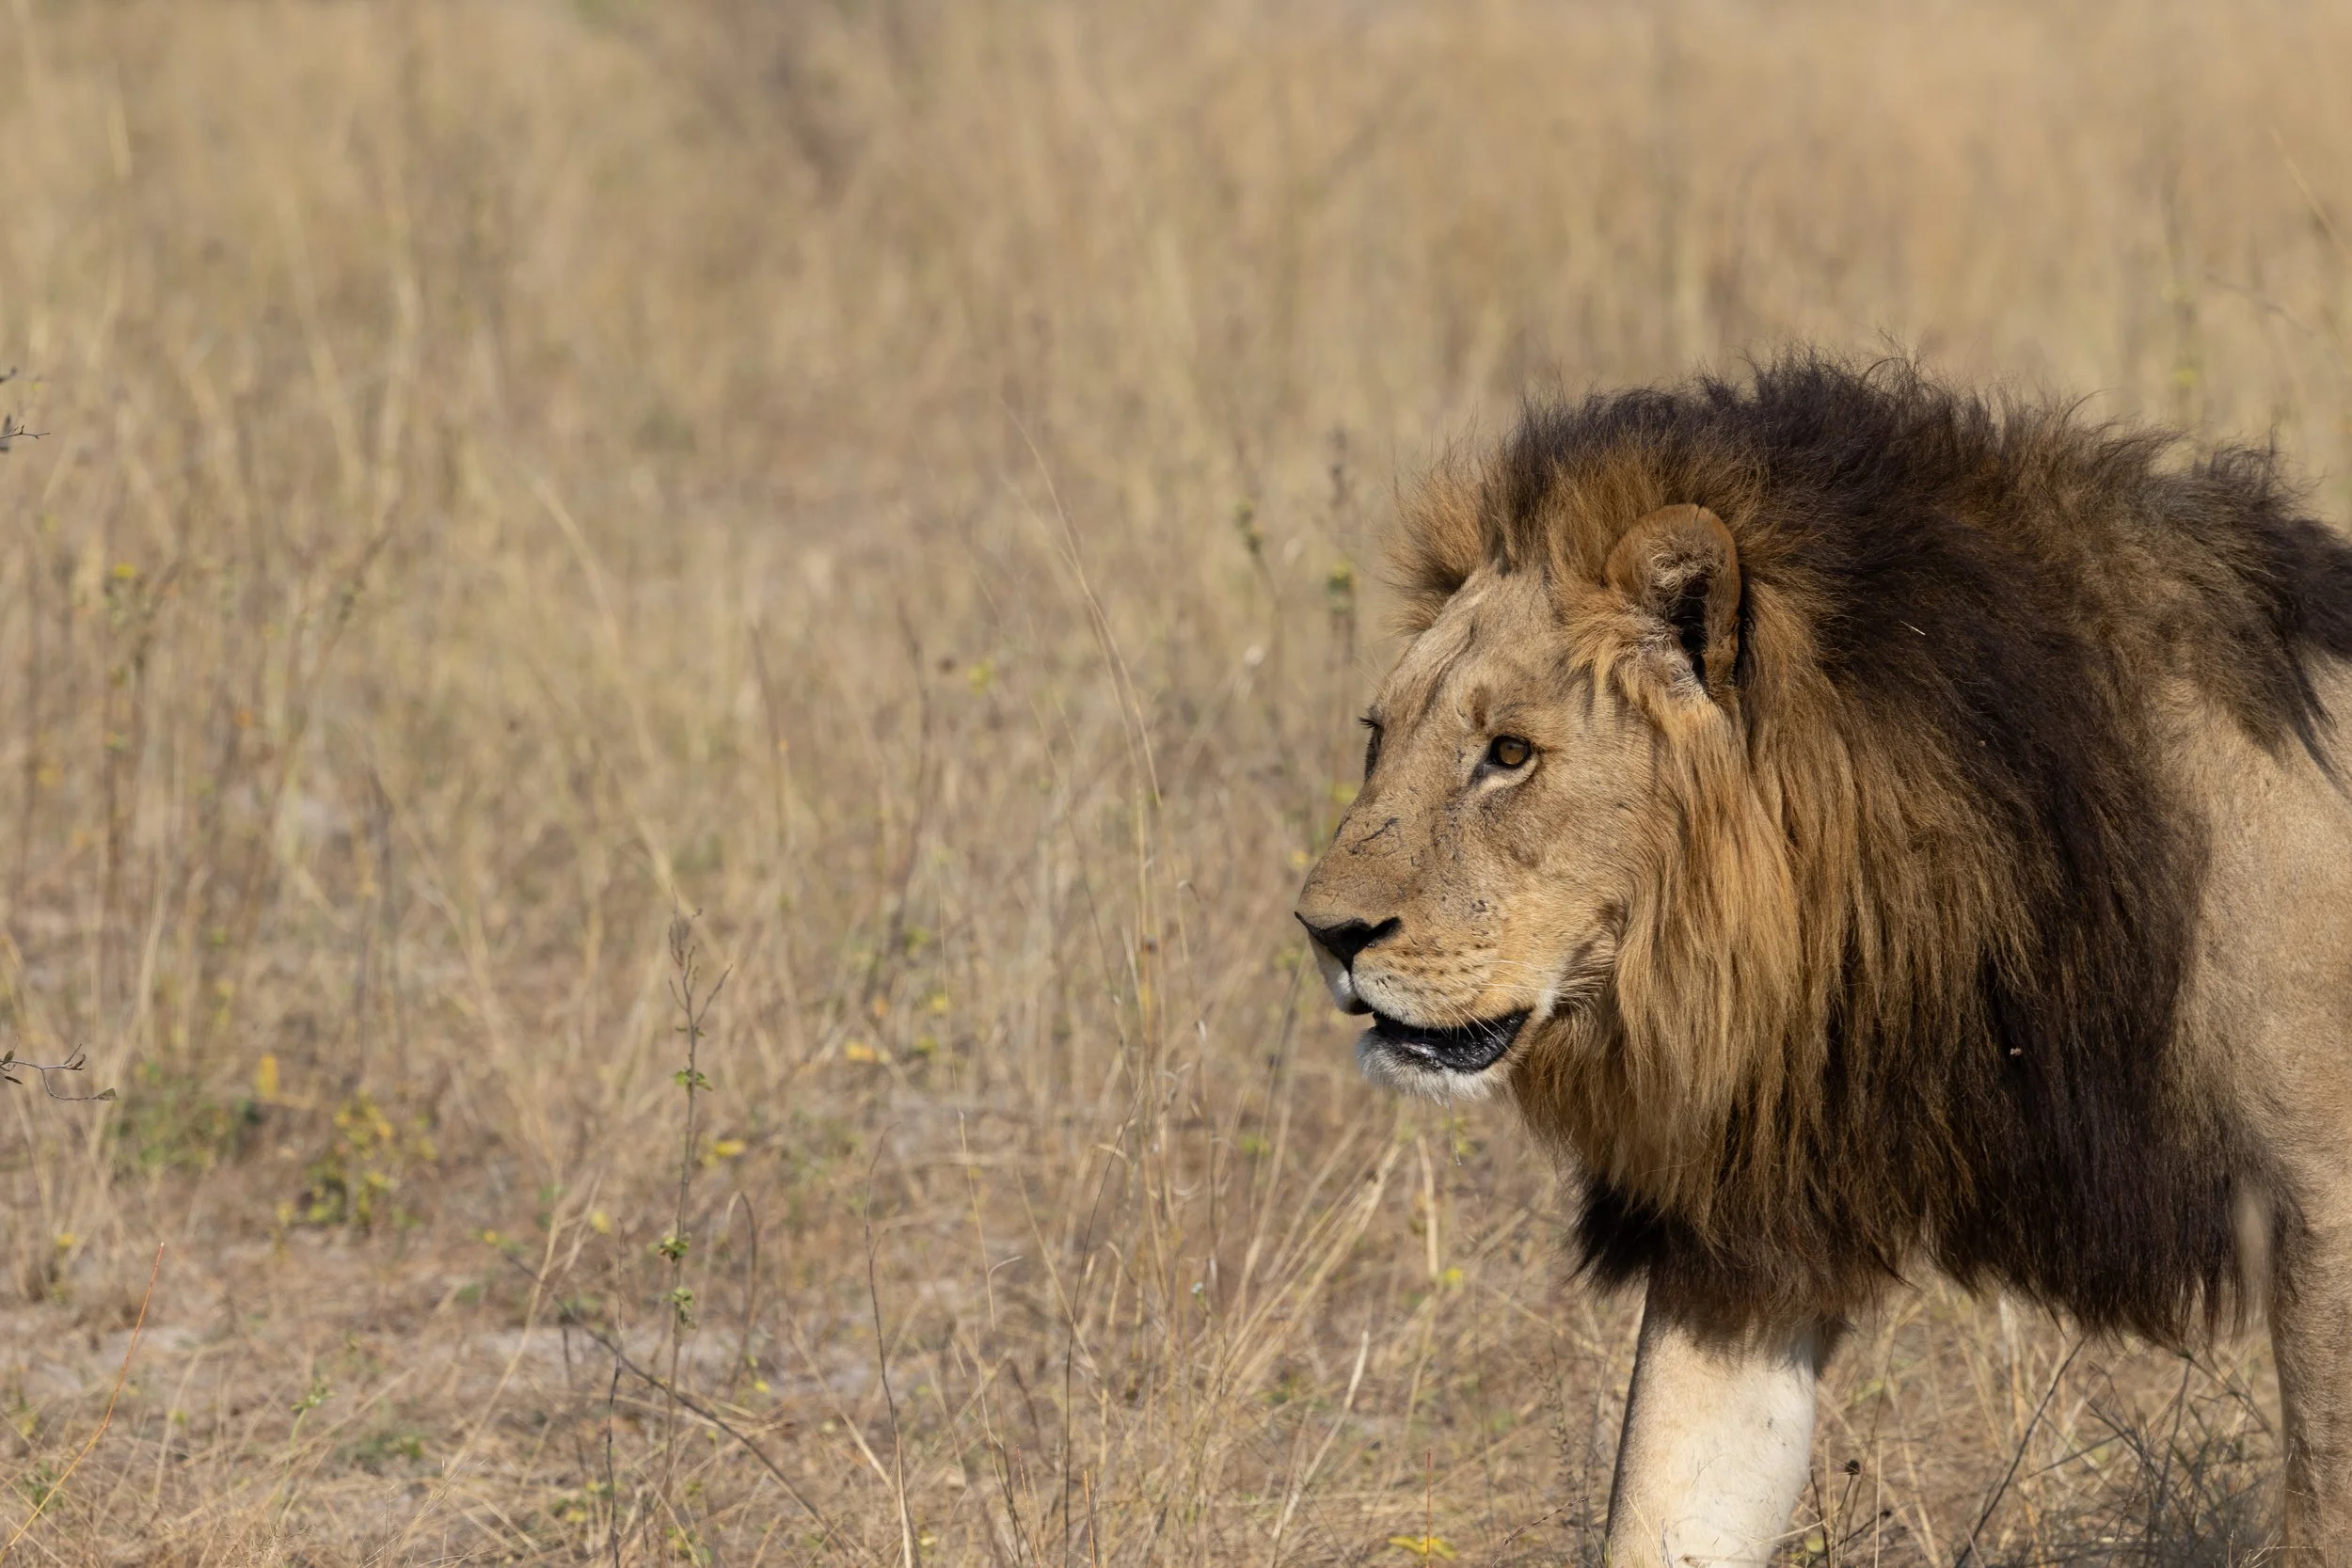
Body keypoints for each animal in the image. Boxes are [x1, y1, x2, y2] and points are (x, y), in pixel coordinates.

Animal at [1294, 355, 2352, 1565]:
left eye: (1508, 753)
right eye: (1379, 736)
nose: (1322, 931)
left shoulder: (2327, 1203)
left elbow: (2324, 1506)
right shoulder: (1748, 1233)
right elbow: (1668, 1503)